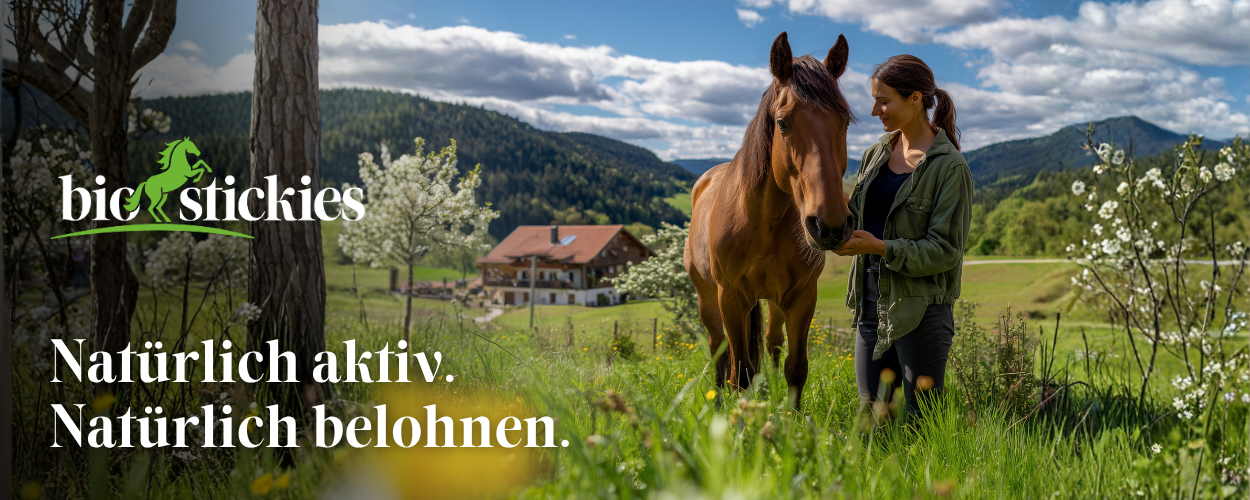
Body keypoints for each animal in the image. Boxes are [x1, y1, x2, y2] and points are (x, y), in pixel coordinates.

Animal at [684, 32, 857, 411]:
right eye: (782, 122)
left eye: (845, 123)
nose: (830, 225)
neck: (763, 222)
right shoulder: (731, 298)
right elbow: (741, 371)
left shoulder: (802, 297)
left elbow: (795, 367)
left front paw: (790, 420)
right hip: (707, 297)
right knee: (720, 351)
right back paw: (717, 399)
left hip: (775, 301)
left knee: (771, 342)